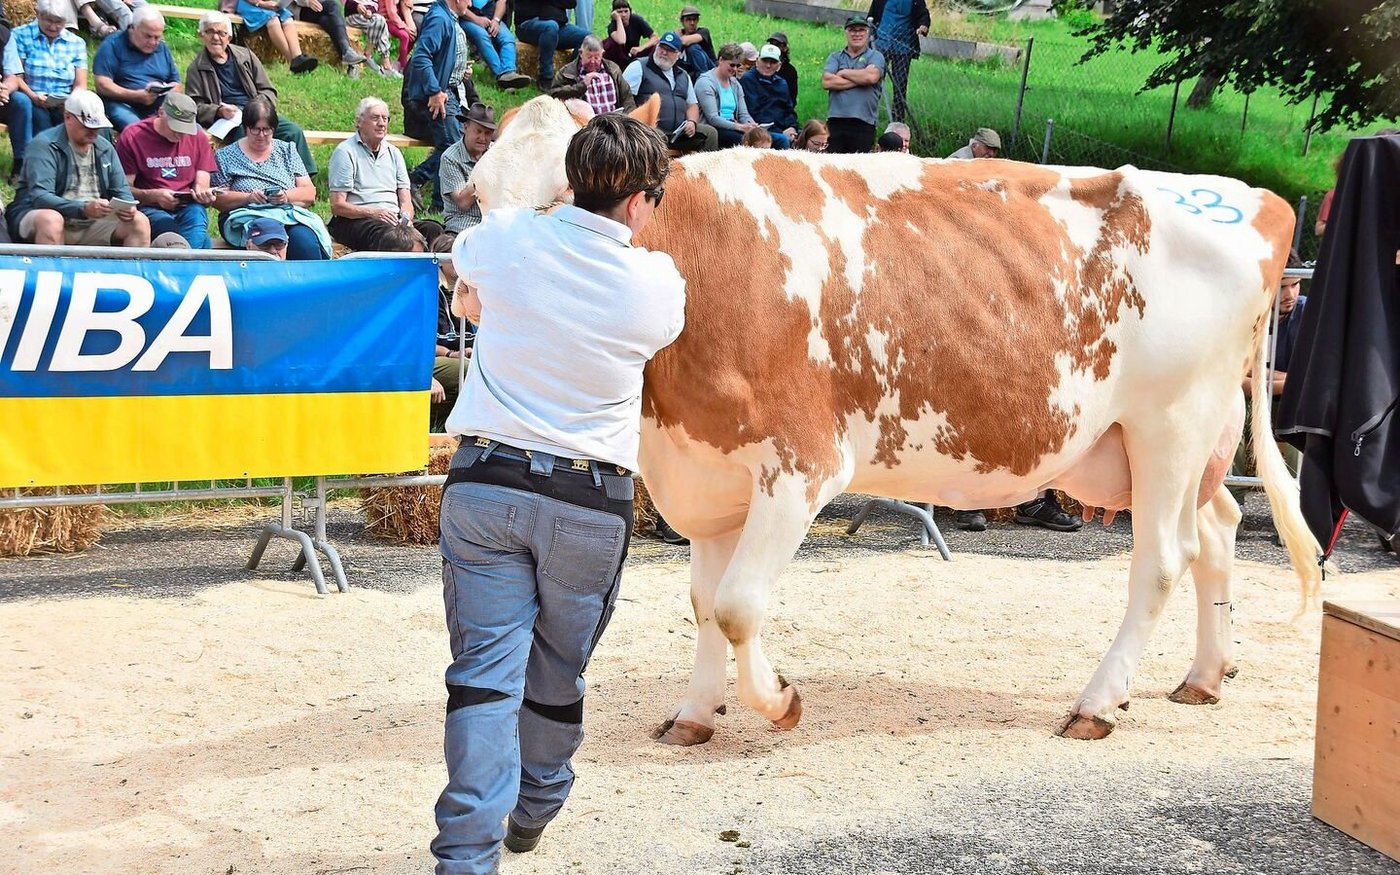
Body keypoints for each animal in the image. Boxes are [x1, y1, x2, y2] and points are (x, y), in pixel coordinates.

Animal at [459, 95, 1321, 743]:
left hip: (1170, 424)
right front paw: (696, 713)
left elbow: (739, 606)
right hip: (1169, 445)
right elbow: (705, 603)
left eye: (561, 198)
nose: (470, 287)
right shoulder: (707, 465)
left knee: (1163, 558)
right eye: (478, 196)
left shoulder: (801, 464)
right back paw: (1204, 675)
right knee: (1216, 530)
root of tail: (1256, 197)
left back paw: (1098, 702)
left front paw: (780, 701)